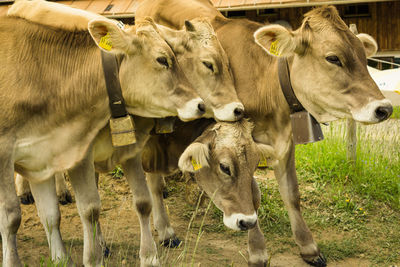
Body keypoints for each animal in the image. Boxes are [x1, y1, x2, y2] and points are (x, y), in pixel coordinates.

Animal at [136, 1, 392, 266]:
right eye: (333, 58)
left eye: (363, 56)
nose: (384, 108)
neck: (265, 84)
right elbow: (253, 196)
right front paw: (258, 251)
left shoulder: (285, 143)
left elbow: (292, 194)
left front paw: (308, 246)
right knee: (152, 178)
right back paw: (165, 228)